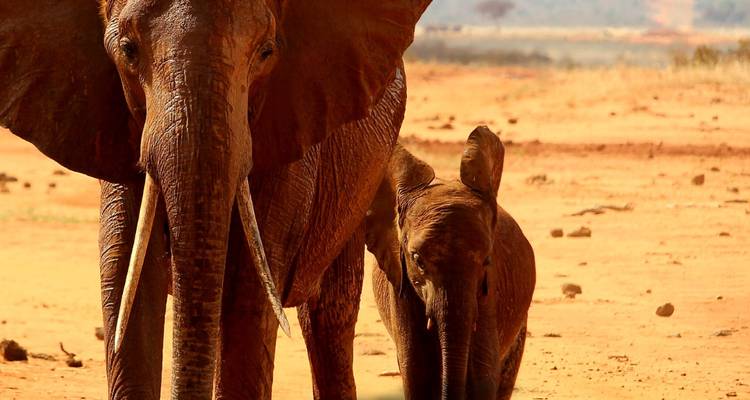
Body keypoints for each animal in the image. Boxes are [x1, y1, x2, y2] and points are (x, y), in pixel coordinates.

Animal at [364, 126, 537, 400]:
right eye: (417, 260)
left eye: (487, 260)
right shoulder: (400, 285)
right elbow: (417, 376)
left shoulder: (488, 294)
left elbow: (482, 379)